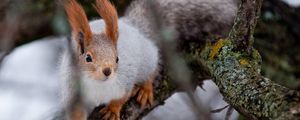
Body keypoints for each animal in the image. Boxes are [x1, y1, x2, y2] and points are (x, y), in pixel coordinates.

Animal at [61, 0, 238, 119]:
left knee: (151, 70)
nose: (107, 71)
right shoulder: (73, 92)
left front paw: (112, 110)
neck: (97, 84)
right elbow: (76, 111)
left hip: (147, 59)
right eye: (88, 58)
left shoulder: (124, 81)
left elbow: (121, 98)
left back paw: (145, 89)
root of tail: (133, 26)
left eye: (117, 58)